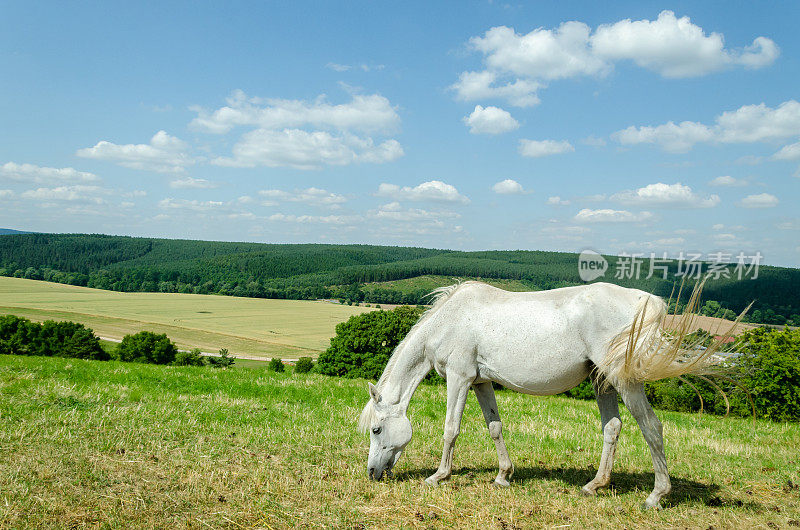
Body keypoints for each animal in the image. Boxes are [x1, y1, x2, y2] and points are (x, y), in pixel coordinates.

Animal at [358, 280, 724, 508]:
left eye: (376, 429)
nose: (372, 473)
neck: (450, 320)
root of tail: (647, 301)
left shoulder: (459, 380)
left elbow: (451, 429)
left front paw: (438, 476)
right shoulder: (480, 382)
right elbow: (494, 427)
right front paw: (503, 476)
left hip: (625, 381)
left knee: (651, 427)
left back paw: (656, 496)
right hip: (602, 380)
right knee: (613, 427)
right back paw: (595, 485)